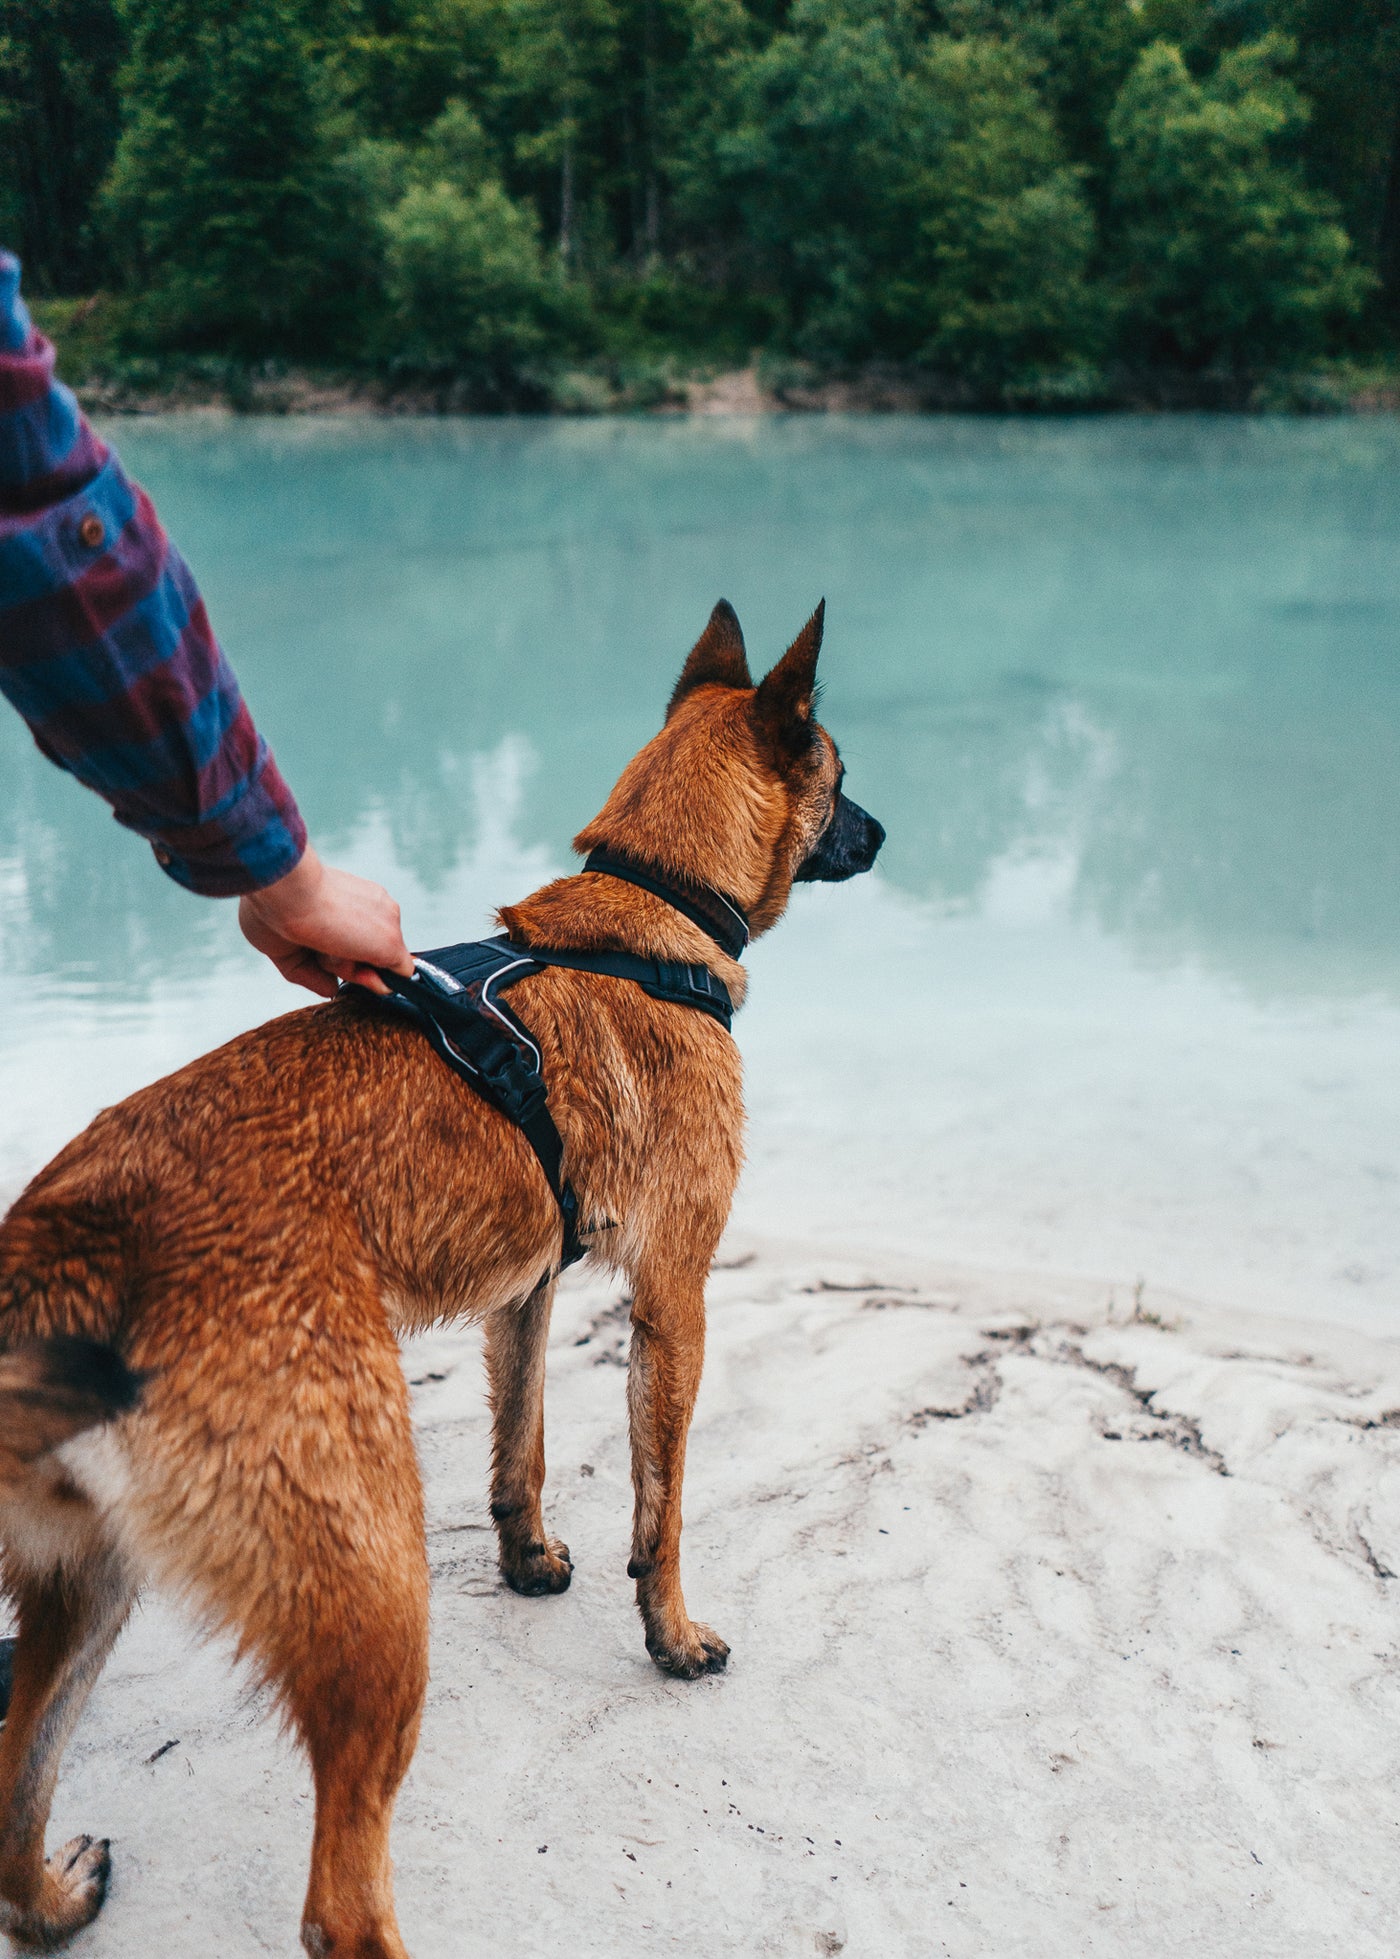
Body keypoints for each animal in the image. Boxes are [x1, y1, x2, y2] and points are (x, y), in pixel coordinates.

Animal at [0, 599, 877, 1959]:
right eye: (842, 777)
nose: (883, 835)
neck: (643, 910)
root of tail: (78, 1236)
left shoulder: (525, 1291)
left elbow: (520, 1445)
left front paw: (528, 1562)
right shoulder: (674, 1295)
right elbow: (663, 1508)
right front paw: (671, 1636)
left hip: (88, 1582)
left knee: (11, 1782)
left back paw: (55, 1895)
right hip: (370, 1587)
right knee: (340, 1907)